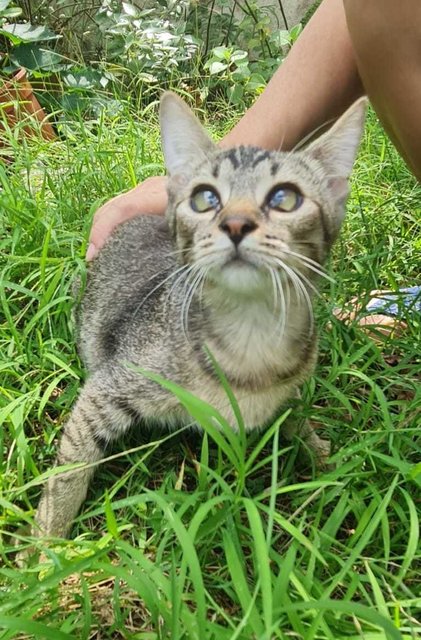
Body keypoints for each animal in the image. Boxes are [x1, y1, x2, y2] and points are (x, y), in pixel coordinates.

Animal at [34, 92, 366, 536]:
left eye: (285, 198)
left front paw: (325, 460)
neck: (250, 333)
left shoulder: (289, 393)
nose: (237, 223)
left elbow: (297, 419)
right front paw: (46, 540)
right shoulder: (108, 387)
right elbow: (69, 468)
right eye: (205, 198)